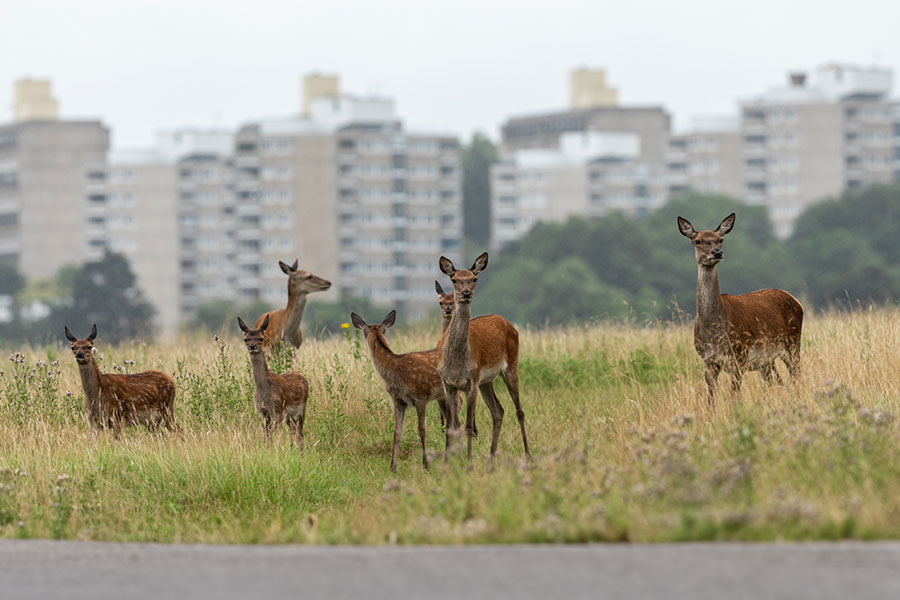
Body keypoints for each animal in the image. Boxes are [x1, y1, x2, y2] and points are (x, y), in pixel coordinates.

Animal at [238, 315, 309, 450]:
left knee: (300, 433)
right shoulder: (263, 412)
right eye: (245, 339)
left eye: (261, 338)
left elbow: (270, 434)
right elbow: (266, 434)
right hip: (289, 417)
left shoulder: (277, 410)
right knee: (294, 431)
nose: (252, 346)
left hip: (301, 410)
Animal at [438, 252, 530, 463]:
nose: (465, 293)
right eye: (454, 279)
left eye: (474, 278)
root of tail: (509, 324)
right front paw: (448, 462)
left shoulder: (471, 382)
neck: (456, 364)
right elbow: (451, 426)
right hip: (486, 381)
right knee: (498, 411)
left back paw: (528, 455)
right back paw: (491, 457)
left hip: (511, 366)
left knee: (519, 411)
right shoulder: (448, 385)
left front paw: (469, 462)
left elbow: (468, 426)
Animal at [677, 213, 803, 403]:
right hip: (767, 361)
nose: (717, 252)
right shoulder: (708, 361)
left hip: (793, 343)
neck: (715, 335)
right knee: (778, 381)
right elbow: (711, 398)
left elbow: (735, 396)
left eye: (720, 240)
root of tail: (796, 301)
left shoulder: (739, 357)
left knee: (796, 375)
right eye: (698, 241)